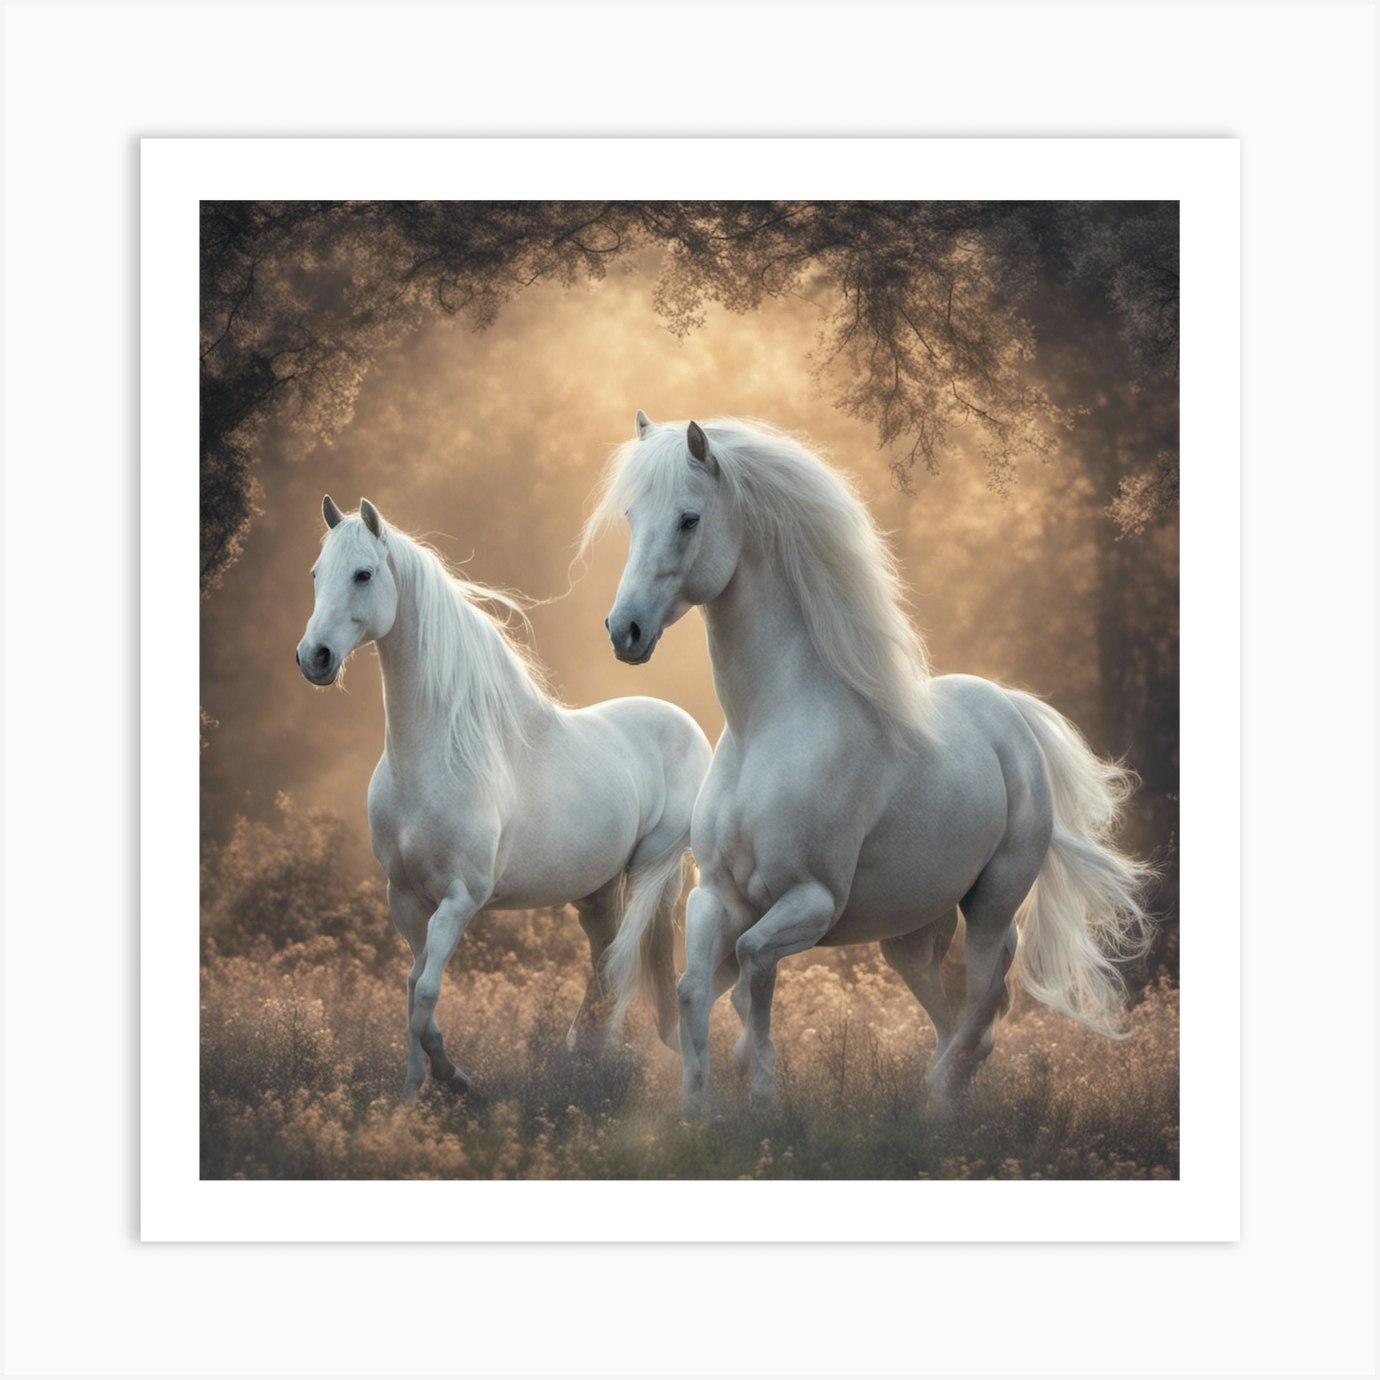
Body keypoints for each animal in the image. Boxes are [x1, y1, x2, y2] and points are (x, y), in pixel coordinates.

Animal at [296, 495, 711, 1100]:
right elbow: (411, 986)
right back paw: (583, 1058)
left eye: (363, 574)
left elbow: (426, 995)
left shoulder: (459, 900)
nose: (315, 657)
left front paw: (457, 1079)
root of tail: (687, 725)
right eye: (315, 573)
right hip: (596, 891)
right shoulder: (405, 898)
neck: (436, 757)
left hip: (652, 872)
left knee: (639, 959)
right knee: (607, 961)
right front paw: (411, 1093)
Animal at [585, 413, 1154, 1115]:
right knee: (957, 1014)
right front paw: (698, 1111)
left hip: (993, 901)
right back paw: (944, 1099)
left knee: (984, 998)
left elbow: (751, 970)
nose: (625, 631)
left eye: (689, 519)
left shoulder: (812, 902)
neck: (766, 730)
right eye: (632, 516)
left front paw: (761, 1094)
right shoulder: (716, 895)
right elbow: (694, 990)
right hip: (909, 933)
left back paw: (936, 1102)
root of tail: (1012, 715)